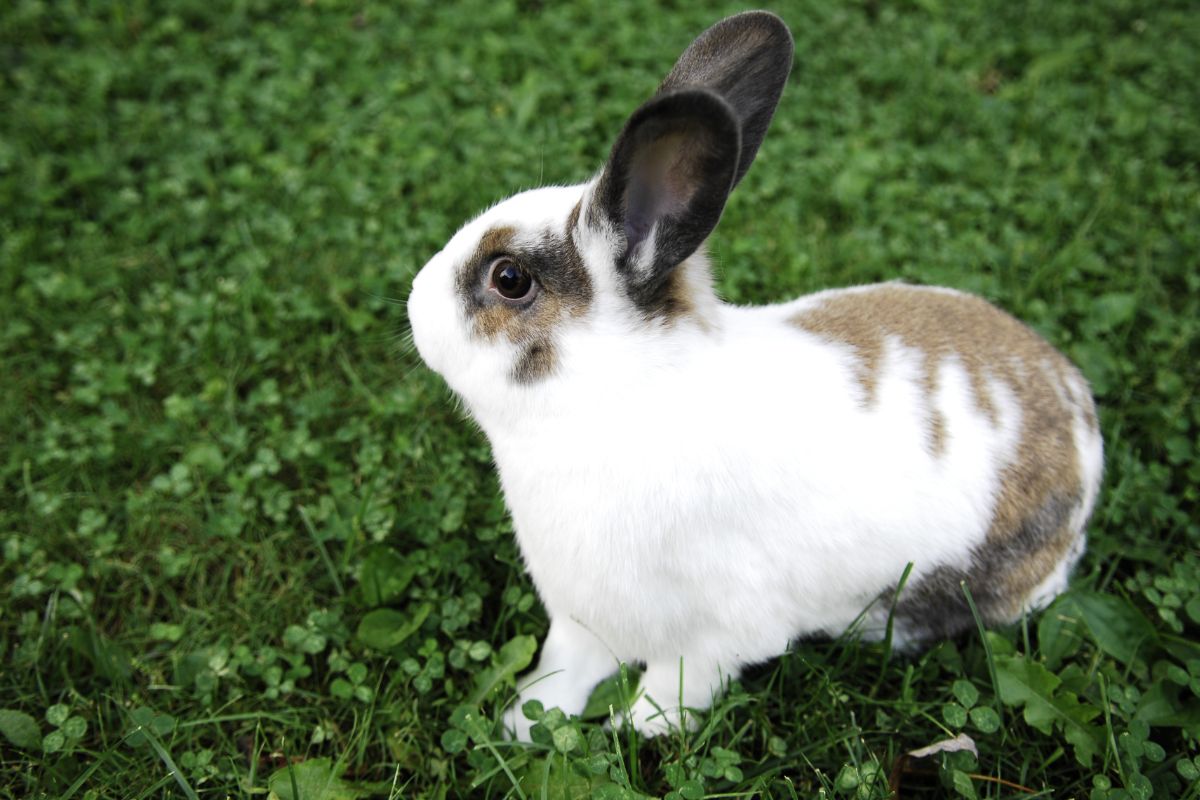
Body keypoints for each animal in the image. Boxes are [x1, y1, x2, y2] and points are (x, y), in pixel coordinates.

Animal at [406, 10, 1103, 741]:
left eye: (509, 278)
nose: (415, 301)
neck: (616, 396)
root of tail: (1077, 406)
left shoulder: (721, 630)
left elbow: (675, 685)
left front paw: (635, 728)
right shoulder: (579, 619)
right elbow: (560, 672)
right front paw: (523, 723)